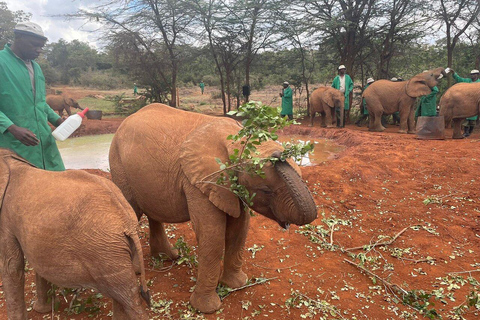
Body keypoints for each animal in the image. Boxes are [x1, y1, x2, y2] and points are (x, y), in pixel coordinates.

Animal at [0, 149, 150, 320]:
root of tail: (127, 220)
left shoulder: (5, 217)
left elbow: (11, 266)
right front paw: (41, 310)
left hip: (104, 250)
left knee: (128, 296)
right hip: (112, 249)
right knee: (121, 295)